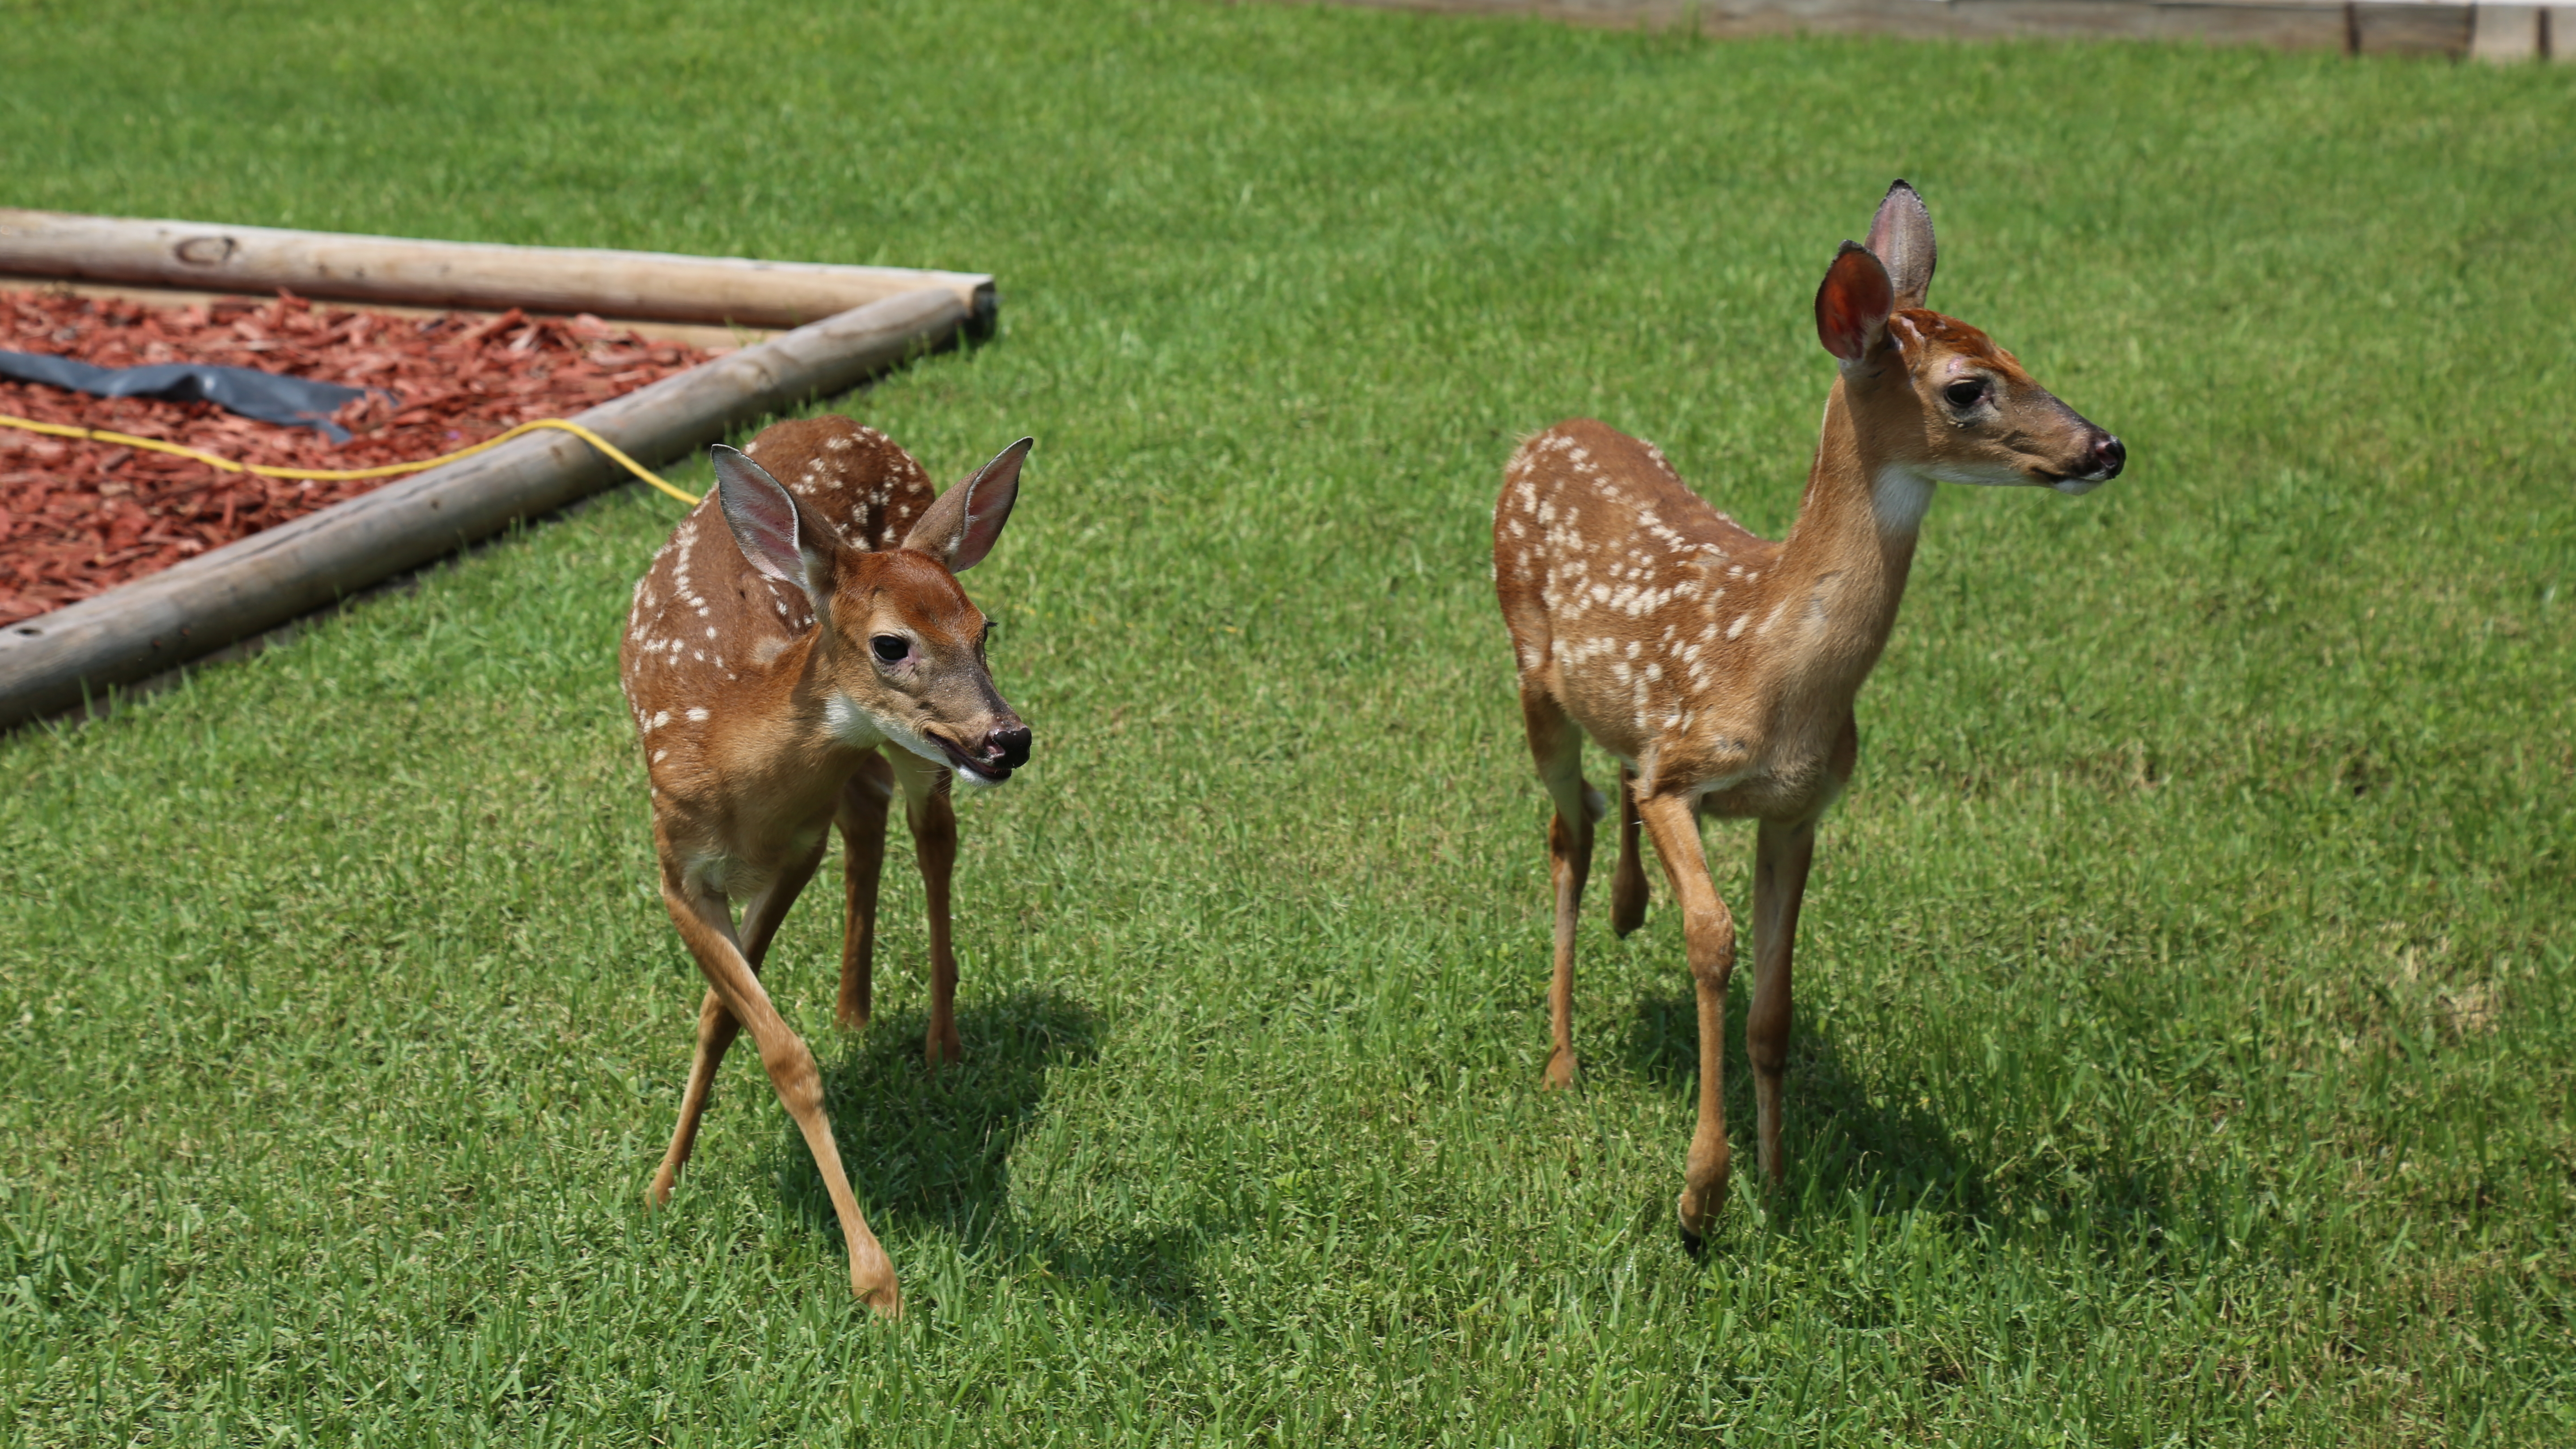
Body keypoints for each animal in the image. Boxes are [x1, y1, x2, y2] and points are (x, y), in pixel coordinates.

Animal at [619, 415, 1035, 1316]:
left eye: (983, 628)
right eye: (891, 643)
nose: (1009, 738)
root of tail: (844, 422)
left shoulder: (794, 849)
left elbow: (772, 1048)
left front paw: (874, 1279)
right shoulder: (676, 869)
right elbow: (733, 1022)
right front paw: (663, 1181)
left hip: (920, 753)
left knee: (931, 833)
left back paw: (940, 1039)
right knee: (871, 814)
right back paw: (853, 1008)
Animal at [1494, 181, 2125, 1246]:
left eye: (2017, 353)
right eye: (1966, 386)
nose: (2104, 446)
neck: (1772, 661)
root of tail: (1536, 434)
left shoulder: (1798, 808)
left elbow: (1774, 1001)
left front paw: (1779, 1175)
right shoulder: (1683, 770)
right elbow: (1711, 942)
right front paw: (1699, 1196)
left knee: (1606, 783)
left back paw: (1627, 907)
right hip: (1530, 673)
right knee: (1563, 824)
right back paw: (1560, 1058)